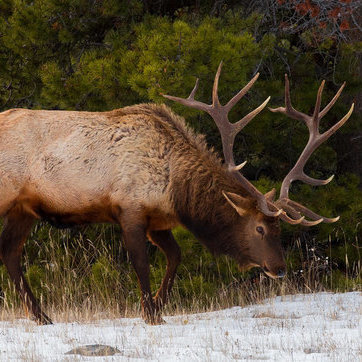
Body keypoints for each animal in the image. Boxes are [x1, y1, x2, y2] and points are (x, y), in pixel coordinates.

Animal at [0, 62, 354, 326]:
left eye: (279, 228)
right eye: (259, 228)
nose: (279, 268)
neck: (176, 191)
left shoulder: (158, 222)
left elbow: (175, 257)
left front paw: (158, 305)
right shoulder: (129, 208)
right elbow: (142, 263)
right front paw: (149, 313)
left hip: (23, 209)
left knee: (10, 253)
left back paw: (42, 316)